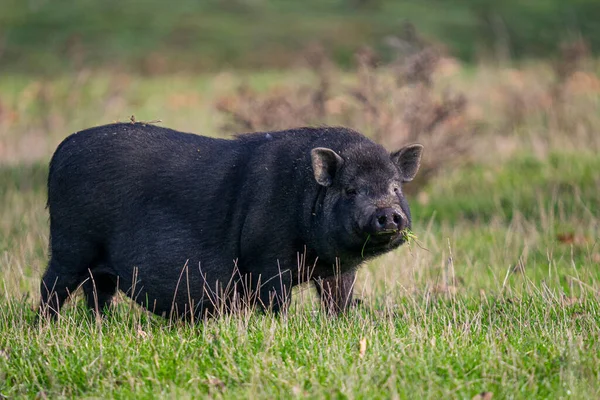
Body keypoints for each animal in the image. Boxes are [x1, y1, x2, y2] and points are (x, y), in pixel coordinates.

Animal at [39, 123, 422, 320]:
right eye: (351, 189)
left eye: (394, 186)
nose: (388, 213)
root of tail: (58, 153)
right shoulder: (267, 259)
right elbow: (275, 301)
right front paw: (279, 326)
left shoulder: (338, 268)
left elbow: (338, 299)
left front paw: (339, 324)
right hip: (70, 244)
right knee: (52, 286)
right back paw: (45, 327)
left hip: (97, 263)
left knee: (97, 292)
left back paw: (100, 326)